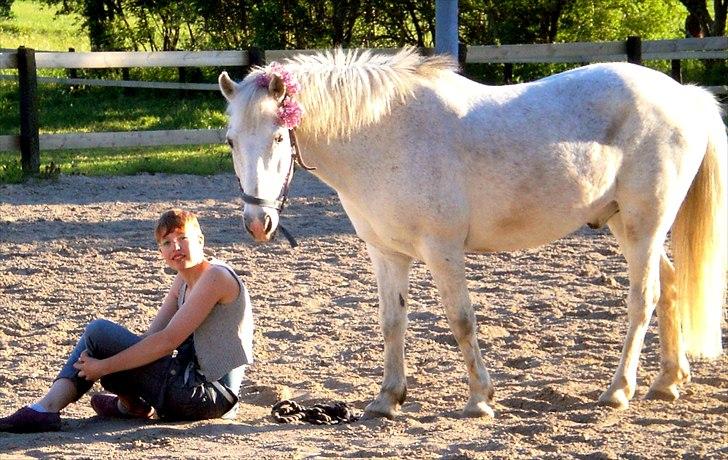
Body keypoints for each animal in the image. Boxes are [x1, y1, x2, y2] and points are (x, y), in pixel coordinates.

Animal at [218, 48, 728, 418]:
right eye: (231, 141)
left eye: (279, 137)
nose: (257, 222)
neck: (384, 135)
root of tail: (684, 94)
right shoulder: (386, 253)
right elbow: (391, 323)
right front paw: (387, 399)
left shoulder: (443, 250)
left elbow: (461, 320)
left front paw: (480, 398)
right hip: (628, 225)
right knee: (670, 286)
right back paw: (668, 382)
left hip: (645, 224)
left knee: (643, 299)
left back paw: (619, 390)